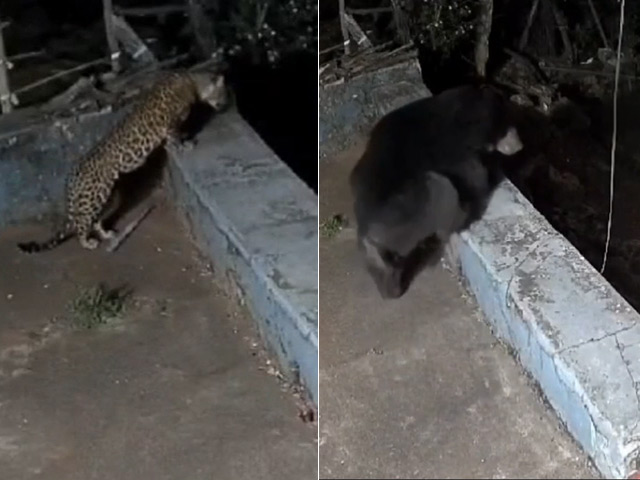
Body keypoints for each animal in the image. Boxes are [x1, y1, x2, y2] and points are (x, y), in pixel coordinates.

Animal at [17, 70, 228, 254]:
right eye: (223, 93)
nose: (225, 105)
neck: (192, 83)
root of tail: (72, 175)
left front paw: (185, 140)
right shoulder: (170, 125)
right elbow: (174, 138)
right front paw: (185, 145)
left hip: (105, 195)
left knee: (95, 219)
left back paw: (106, 234)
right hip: (92, 198)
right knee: (81, 223)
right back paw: (88, 243)